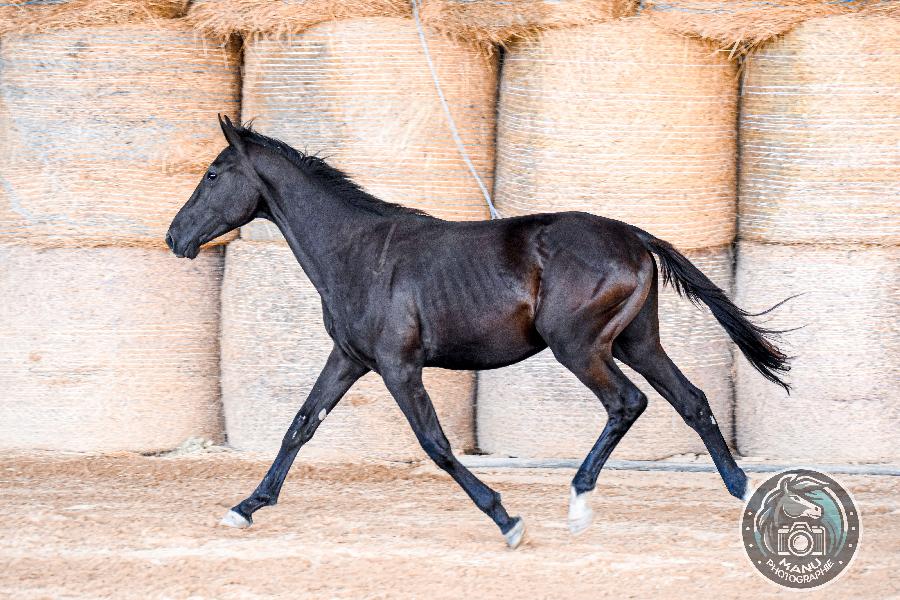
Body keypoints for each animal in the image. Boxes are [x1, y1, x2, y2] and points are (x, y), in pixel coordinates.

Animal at [166, 115, 790, 549]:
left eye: (213, 173)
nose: (175, 236)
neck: (359, 252)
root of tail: (635, 236)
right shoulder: (349, 358)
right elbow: (300, 426)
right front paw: (246, 506)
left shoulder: (398, 366)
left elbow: (436, 444)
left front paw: (506, 519)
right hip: (638, 342)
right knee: (692, 401)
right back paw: (743, 493)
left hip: (579, 346)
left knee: (627, 403)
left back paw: (579, 500)